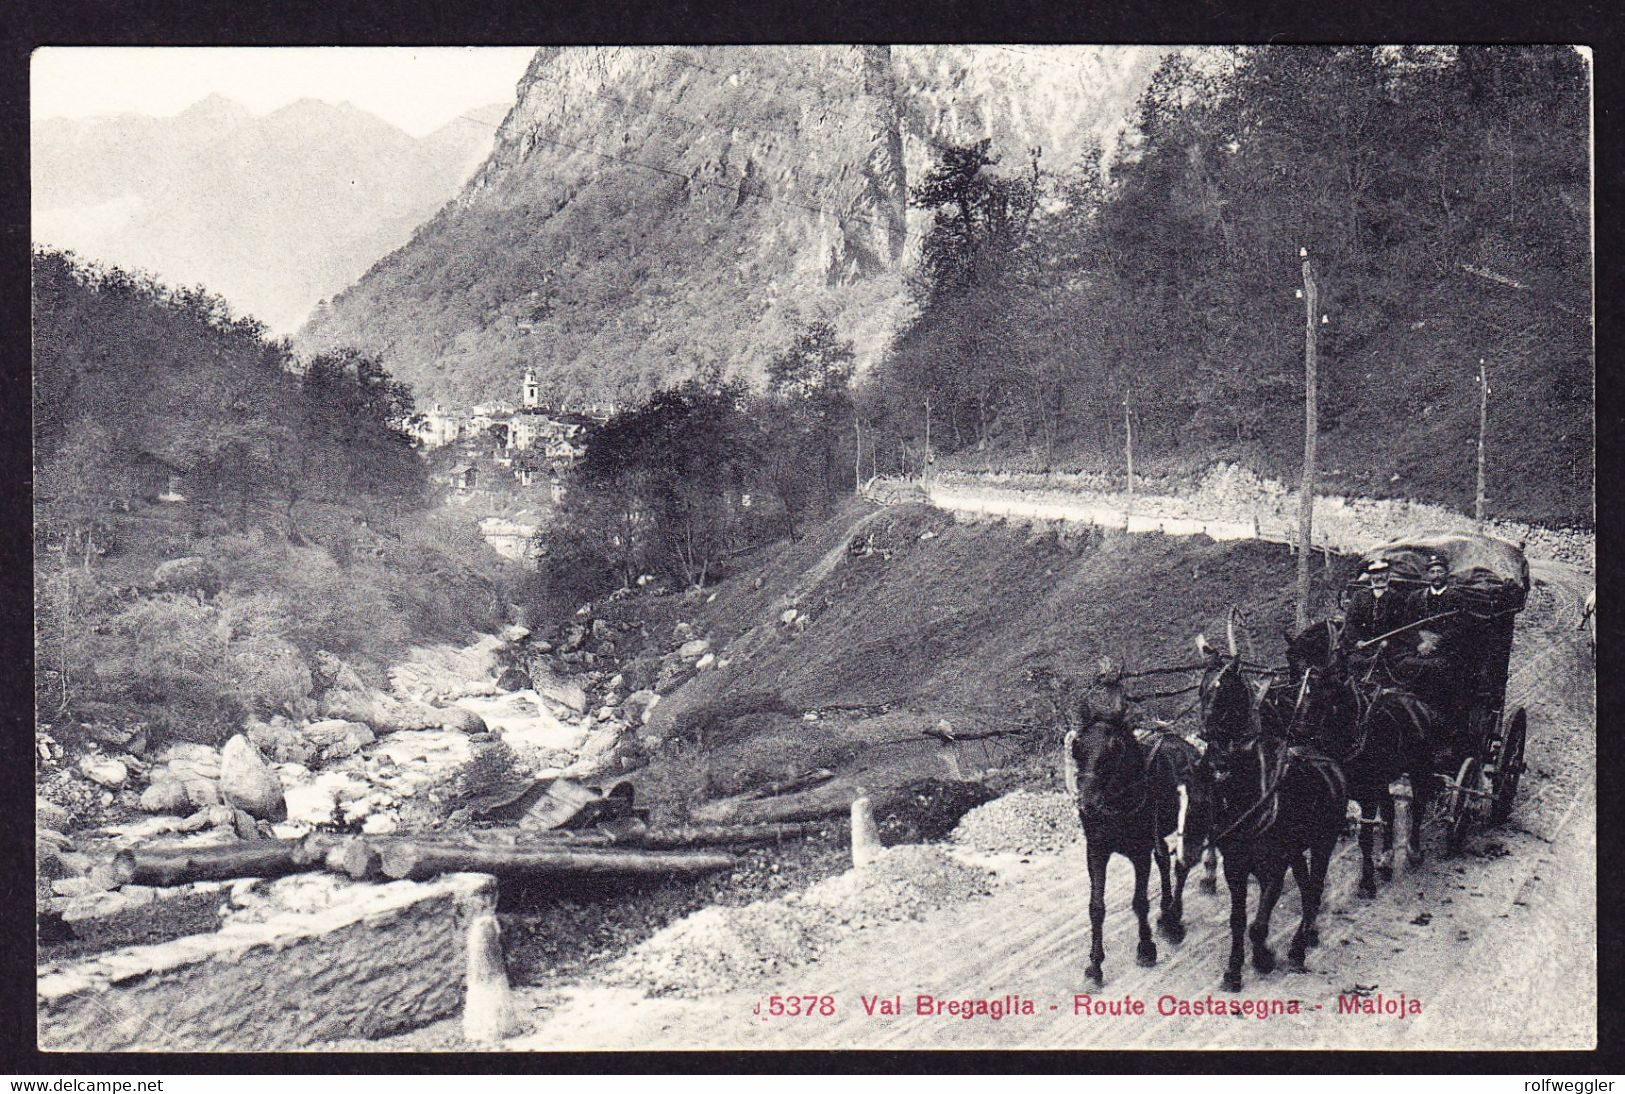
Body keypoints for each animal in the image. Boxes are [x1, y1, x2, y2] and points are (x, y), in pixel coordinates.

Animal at [1196, 630, 1345, 988]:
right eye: (1201, 688)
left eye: (1225, 689)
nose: (1206, 737)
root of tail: (1327, 759)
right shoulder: (1235, 865)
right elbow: (1238, 920)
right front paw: (1233, 970)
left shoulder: (1274, 865)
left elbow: (1258, 925)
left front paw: (1264, 957)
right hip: (1297, 850)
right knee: (1306, 887)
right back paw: (1308, 933)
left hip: (1324, 840)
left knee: (1315, 888)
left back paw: (1297, 949)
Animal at [1287, 617, 1443, 890]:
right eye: (1294, 674)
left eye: (1333, 678)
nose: (1300, 730)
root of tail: (1419, 703)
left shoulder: (1368, 796)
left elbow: (1366, 838)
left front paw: (1367, 880)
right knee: (1390, 808)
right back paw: (1387, 857)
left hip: (1420, 766)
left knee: (1419, 802)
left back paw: (1413, 851)